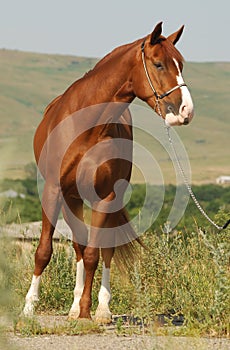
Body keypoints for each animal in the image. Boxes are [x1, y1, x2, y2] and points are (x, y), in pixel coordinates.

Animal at [22, 21, 194, 322]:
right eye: (159, 64)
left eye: (181, 65)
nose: (186, 110)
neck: (87, 126)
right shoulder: (53, 190)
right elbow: (44, 251)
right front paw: (29, 306)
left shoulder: (105, 197)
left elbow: (95, 254)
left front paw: (88, 311)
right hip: (72, 199)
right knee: (78, 245)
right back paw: (72, 305)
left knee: (104, 249)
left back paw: (101, 308)